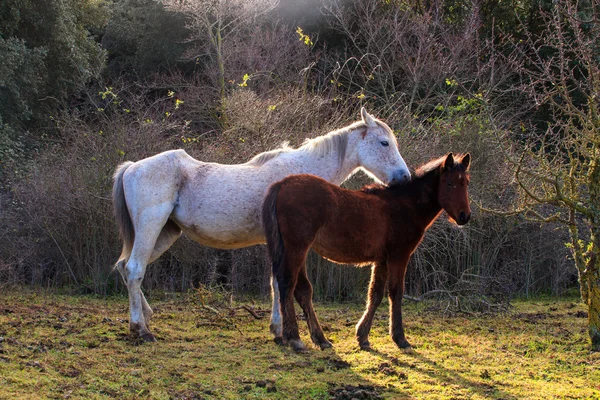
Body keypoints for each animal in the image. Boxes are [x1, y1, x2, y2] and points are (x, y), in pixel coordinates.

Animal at [112, 108, 410, 342]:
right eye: (384, 142)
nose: (404, 177)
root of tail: (132, 167)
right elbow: (281, 281)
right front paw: (282, 331)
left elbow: (275, 282)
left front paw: (277, 329)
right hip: (151, 227)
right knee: (135, 269)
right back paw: (140, 329)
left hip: (165, 232)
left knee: (125, 268)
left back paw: (146, 317)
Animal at [264, 152, 472, 350]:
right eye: (449, 183)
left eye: (466, 182)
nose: (465, 216)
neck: (406, 205)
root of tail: (282, 184)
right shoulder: (399, 257)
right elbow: (395, 292)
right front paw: (400, 338)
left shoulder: (382, 260)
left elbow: (375, 294)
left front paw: (362, 336)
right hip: (296, 248)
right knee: (287, 284)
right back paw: (294, 338)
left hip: (298, 251)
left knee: (302, 290)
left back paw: (320, 339)